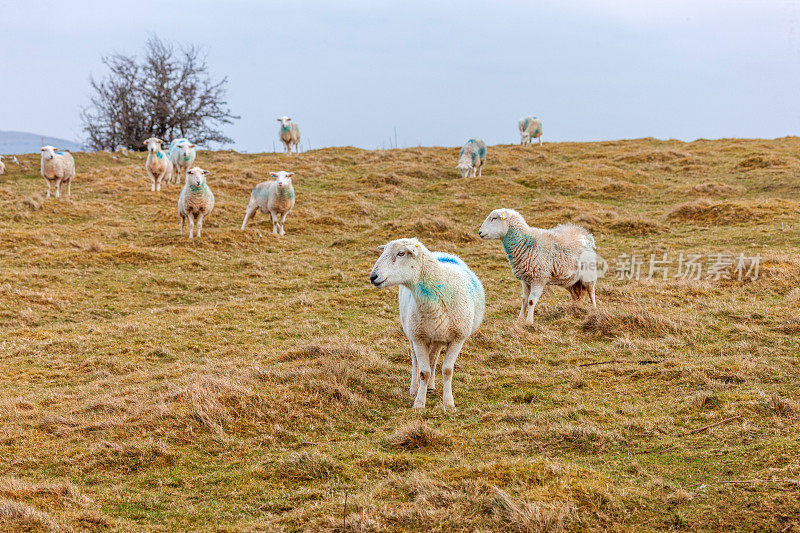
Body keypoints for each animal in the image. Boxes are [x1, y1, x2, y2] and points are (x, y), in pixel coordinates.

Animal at [370, 239, 488, 410]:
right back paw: (415, 388)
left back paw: (431, 386)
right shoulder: (418, 338)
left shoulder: (458, 338)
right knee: (415, 361)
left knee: (434, 357)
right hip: (412, 330)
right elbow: (423, 372)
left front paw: (448, 403)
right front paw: (419, 402)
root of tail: (441, 253)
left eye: (401, 253)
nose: (373, 277)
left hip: (438, 334)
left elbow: (447, 370)